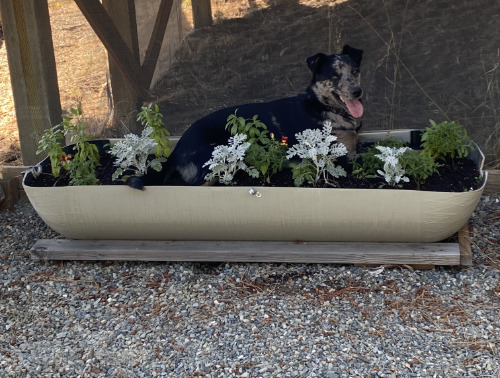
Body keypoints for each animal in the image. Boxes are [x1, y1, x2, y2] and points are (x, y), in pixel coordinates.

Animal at [164, 44, 364, 185]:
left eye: (355, 72)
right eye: (335, 76)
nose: (358, 91)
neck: (323, 105)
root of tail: (175, 151)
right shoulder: (342, 157)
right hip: (219, 159)